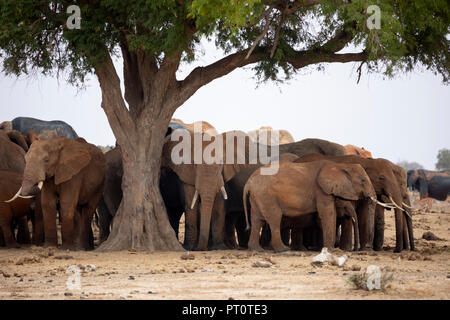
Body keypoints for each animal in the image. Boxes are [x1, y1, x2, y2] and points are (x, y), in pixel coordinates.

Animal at [244, 160, 374, 252]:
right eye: (363, 180)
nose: (355, 250)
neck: (340, 165)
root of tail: (248, 182)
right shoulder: (321, 190)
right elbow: (328, 213)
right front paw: (331, 250)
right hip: (267, 195)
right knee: (274, 218)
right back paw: (284, 250)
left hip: (258, 196)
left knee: (257, 220)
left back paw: (257, 249)